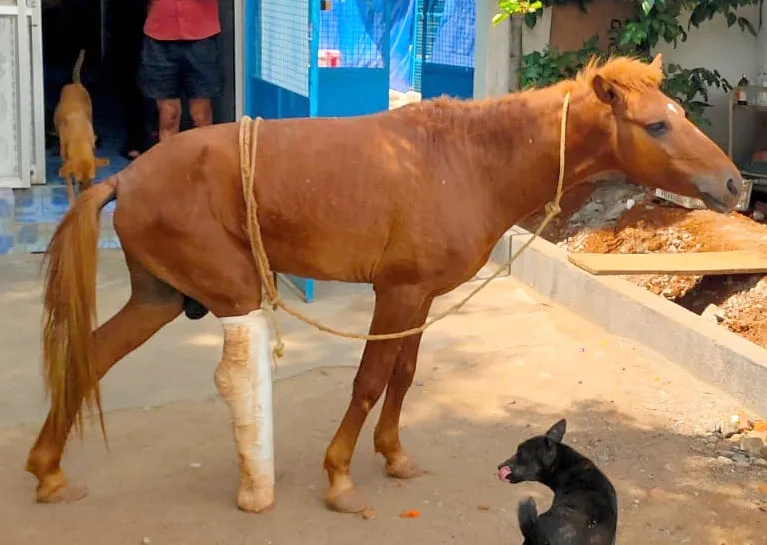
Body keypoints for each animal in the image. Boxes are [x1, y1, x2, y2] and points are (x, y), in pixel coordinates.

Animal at [54, 48, 110, 204]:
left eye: (92, 179)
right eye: (79, 182)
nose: (87, 198)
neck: (79, 138)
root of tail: (75, 84)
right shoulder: (65, 162)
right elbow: (68, 184)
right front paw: (73, 200)